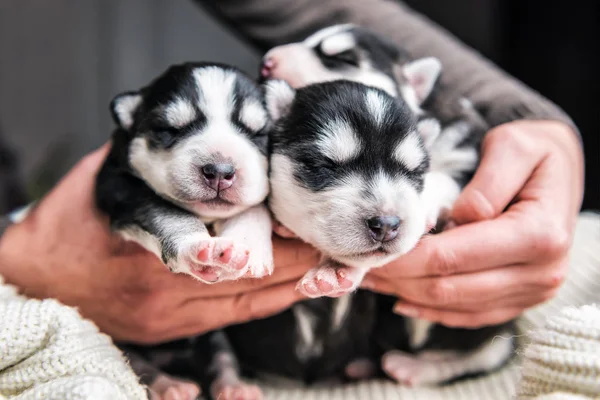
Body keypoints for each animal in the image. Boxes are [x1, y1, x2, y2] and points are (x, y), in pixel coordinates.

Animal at [95, 61, 274, 284]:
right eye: (171, 130)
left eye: (259, 133)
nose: (219, 171)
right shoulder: (118, 184)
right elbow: (165, 213)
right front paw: (197, 247)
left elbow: (252, 208)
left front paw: (248, 243)